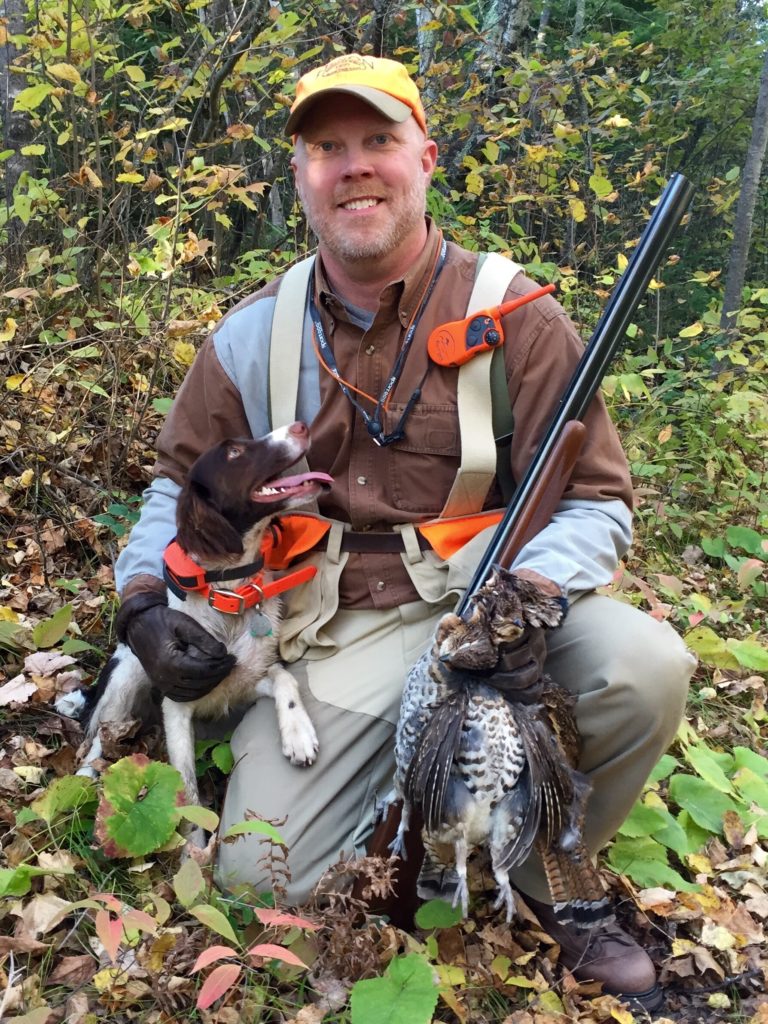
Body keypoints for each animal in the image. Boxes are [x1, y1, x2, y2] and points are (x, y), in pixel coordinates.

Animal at [61, 419, 331, 827]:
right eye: (234, 452)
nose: (301, 426)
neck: (231, 595)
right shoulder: (177, 708)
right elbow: (187, 792)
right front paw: (192, 840)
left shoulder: (244, 683)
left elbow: (285, 678)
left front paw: (298, 733)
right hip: (126, 675)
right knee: (97, 739)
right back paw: (82, 779)